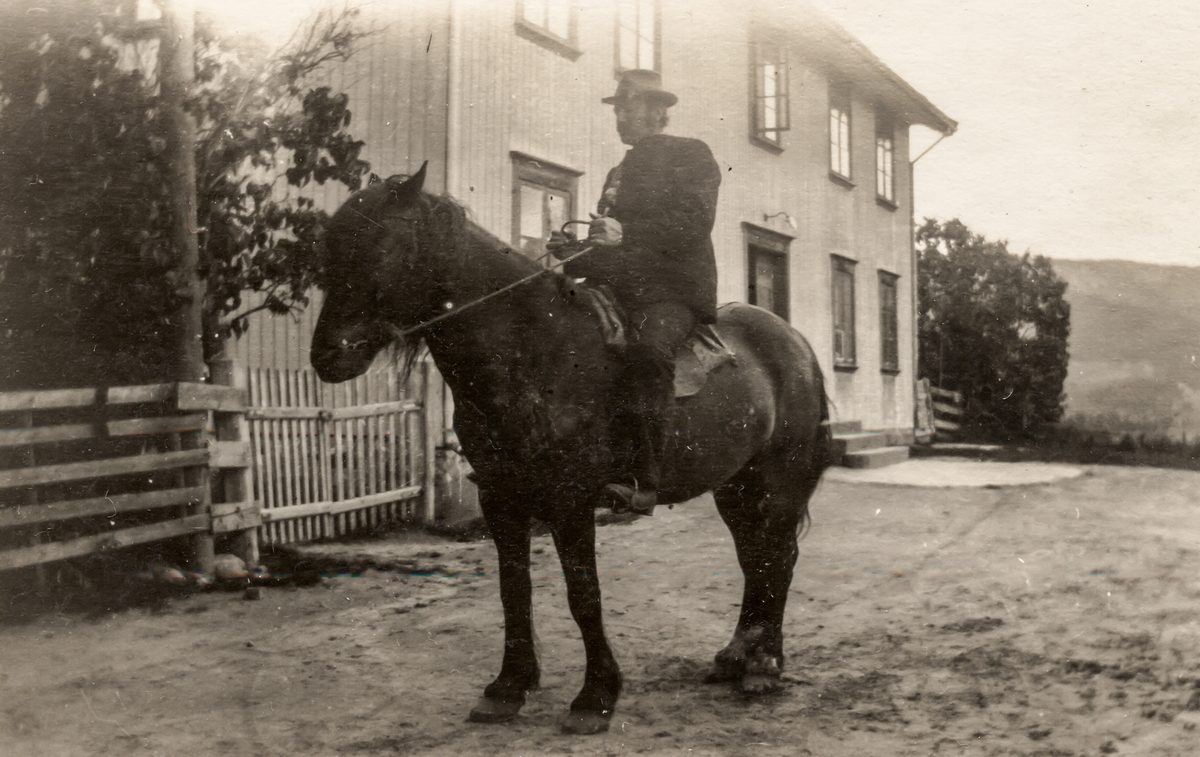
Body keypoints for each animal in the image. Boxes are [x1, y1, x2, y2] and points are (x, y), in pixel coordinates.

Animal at [314, 164, 830, 734]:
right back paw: (738, 654)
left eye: (383, 246)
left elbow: (583, 595)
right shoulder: (500, 498)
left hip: (779, 480)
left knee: (779, 556)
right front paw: (508, 686)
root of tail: (796, 343)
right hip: (735, 486)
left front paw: (596, 695)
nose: (328, 356)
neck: (535, 351)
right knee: (755, 558)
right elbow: (513, 589)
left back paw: (766, 665)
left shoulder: (571, 501)